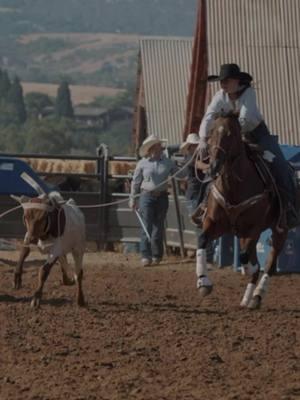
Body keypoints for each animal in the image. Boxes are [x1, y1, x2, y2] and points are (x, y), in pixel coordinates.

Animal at [193, 112, 292, 310]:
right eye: (212, 133)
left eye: (230, 134)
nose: (214, 166)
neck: (235, 187)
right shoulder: (215, 224)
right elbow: (202, 240)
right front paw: (203, 282)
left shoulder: (253, 229)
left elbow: (248, 258)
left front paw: (249, 269)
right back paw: (247, 299)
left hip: (280, 231)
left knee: (269, 264)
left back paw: (257, 296)